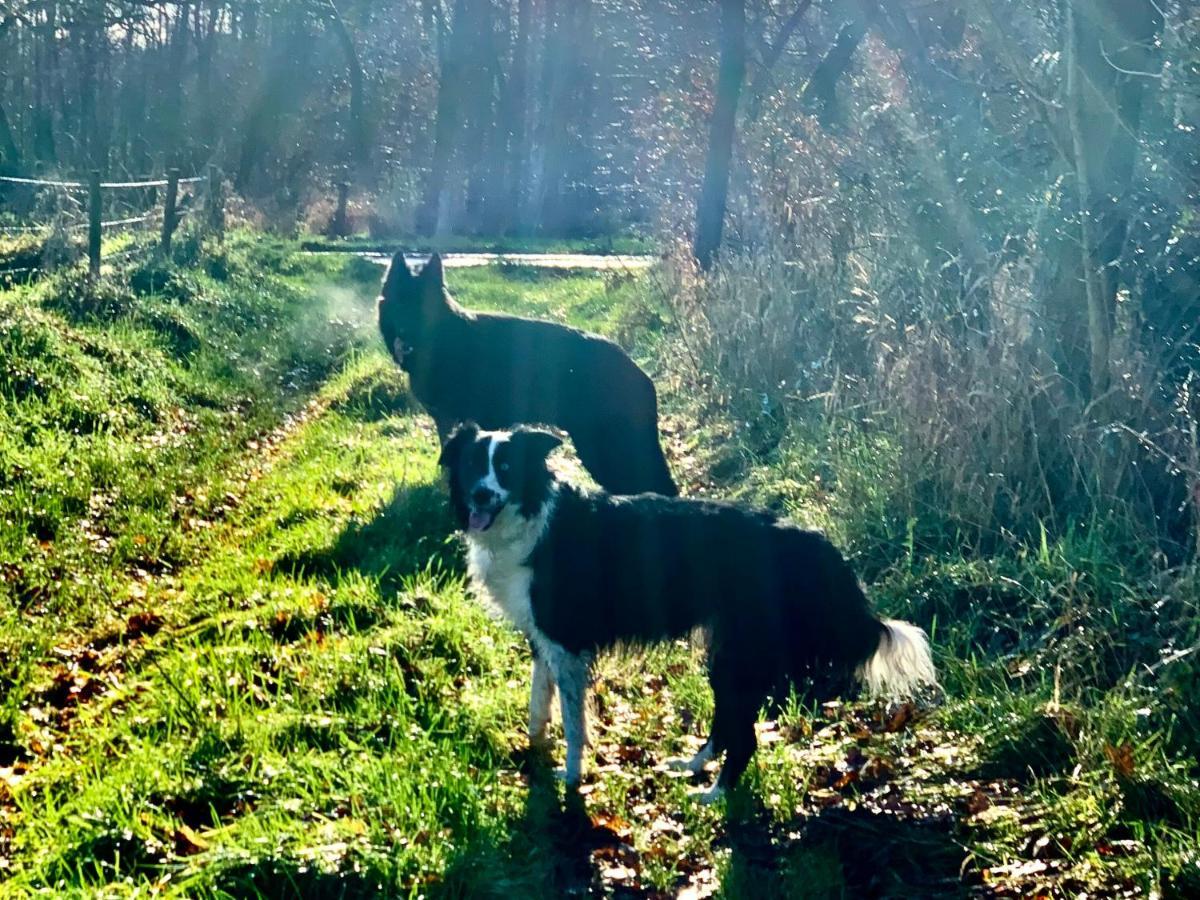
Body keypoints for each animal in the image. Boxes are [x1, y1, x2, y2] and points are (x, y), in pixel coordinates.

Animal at [376, 250, 676, 496]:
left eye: (422, 307)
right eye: (399, 304)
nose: (405, 334)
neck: (444, 337)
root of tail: (641, 373)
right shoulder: (447, 421)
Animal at [441, 427, 936, 806]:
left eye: (507, 467)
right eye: (472, 465)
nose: (481, 494)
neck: (529, 518)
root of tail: (799, 537)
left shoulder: (567, 642)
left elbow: (573, 721)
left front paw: (571, 776)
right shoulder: (545, 639)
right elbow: (538, 703)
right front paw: (535, 752)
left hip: (739, 655)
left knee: (744, 736)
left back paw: (714, 795)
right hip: (727, 652)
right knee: (729, 724)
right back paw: (693, 765)